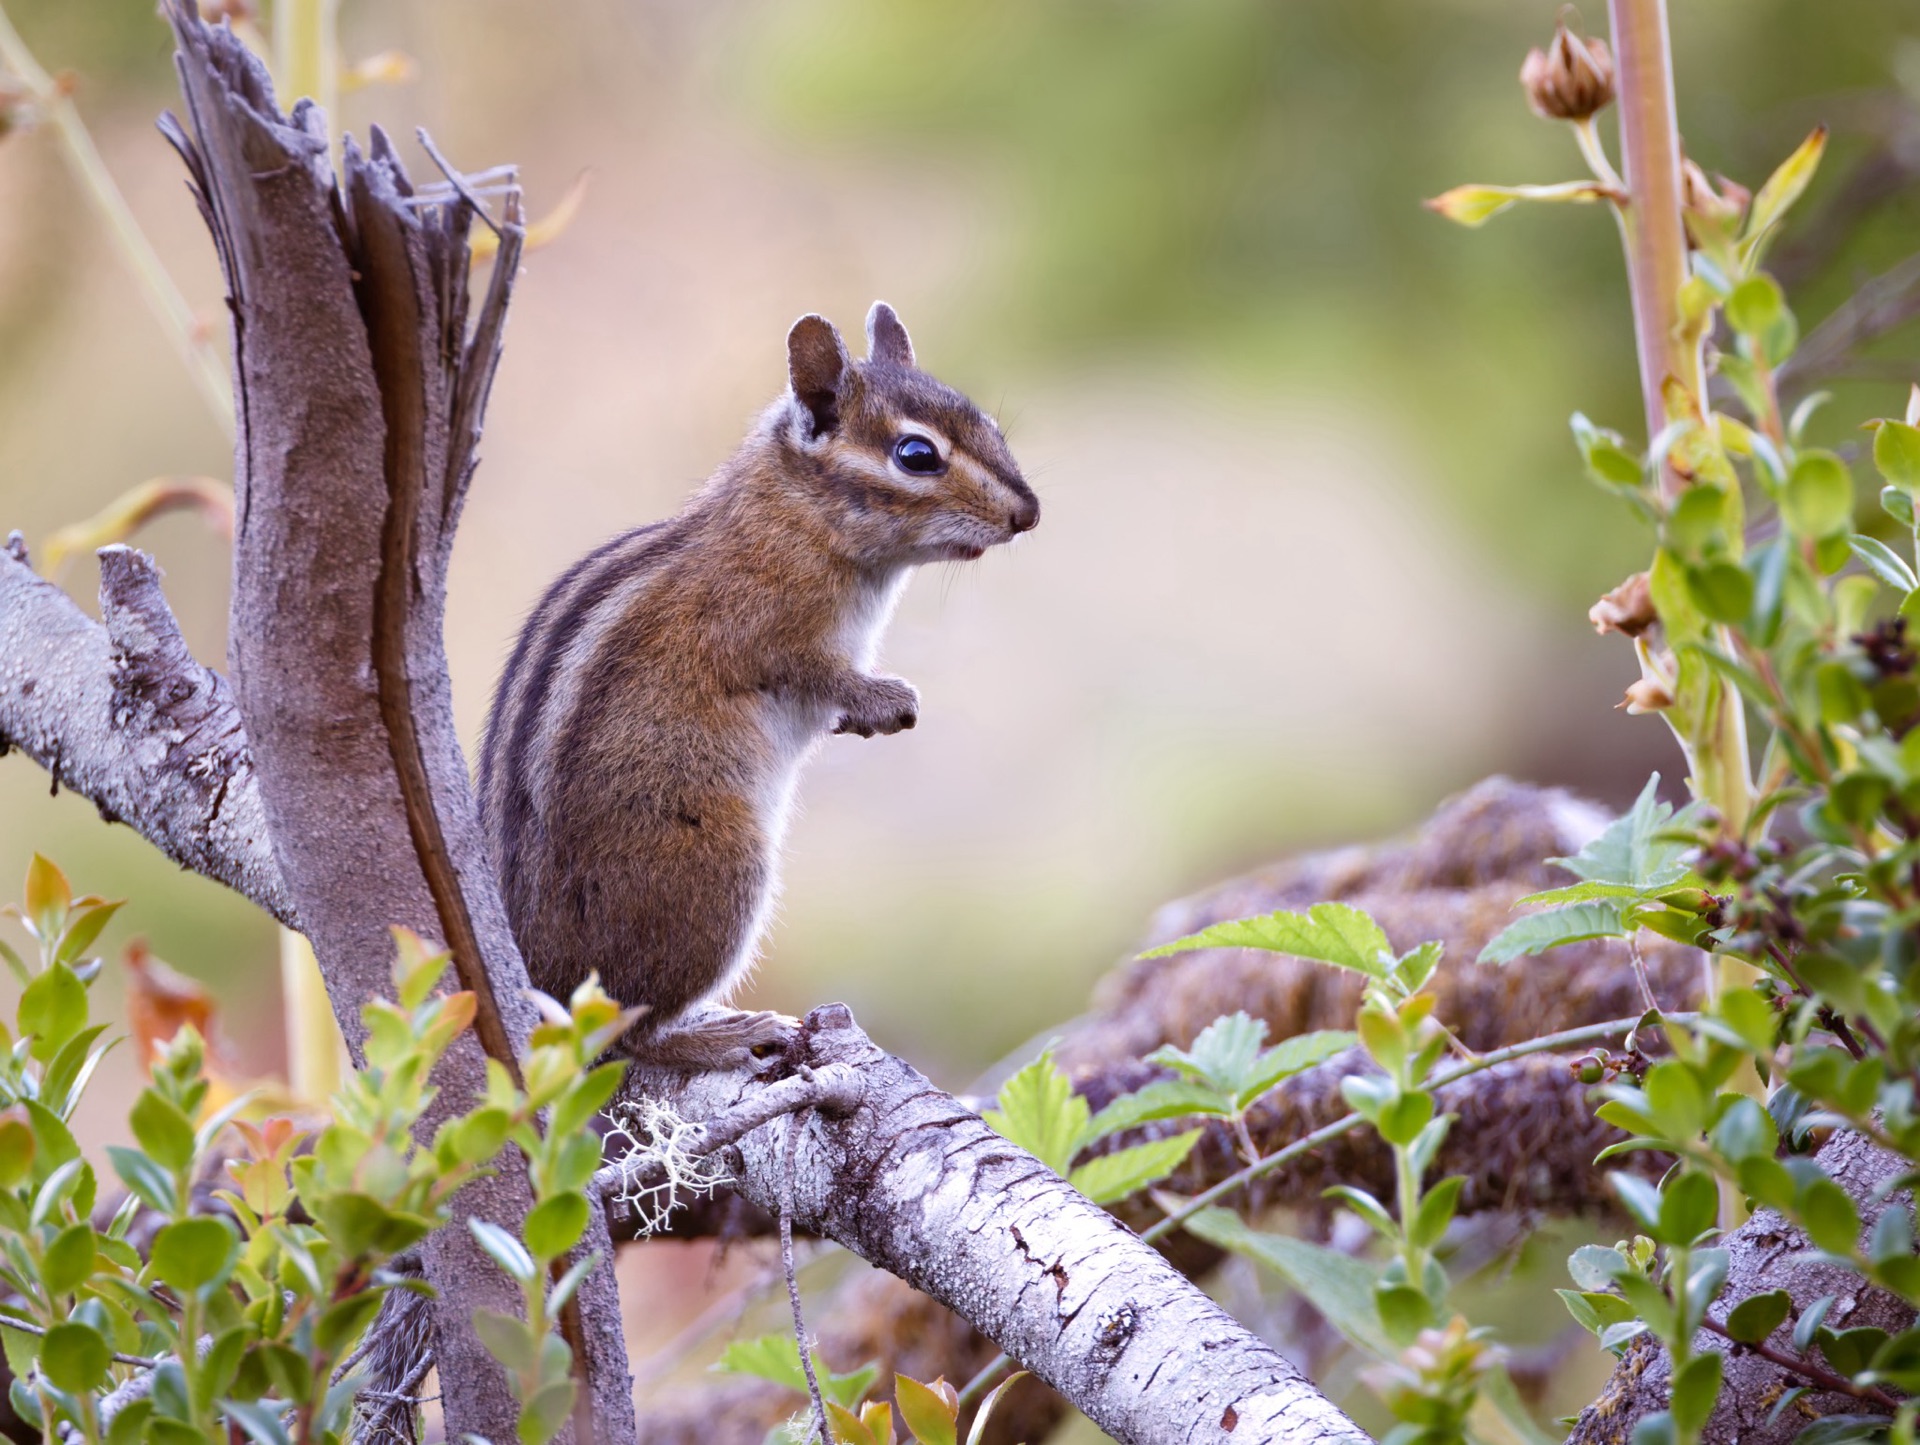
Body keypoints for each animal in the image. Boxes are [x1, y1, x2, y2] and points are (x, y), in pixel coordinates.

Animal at [478, 302, 1039, 1070]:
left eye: (990, 426)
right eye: (917, 456)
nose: (1029, 513)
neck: (795, 519)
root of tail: (538, 979)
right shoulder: (765, 630)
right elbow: (812, 670)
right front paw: (886, 699)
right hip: (717, 876)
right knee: (625, 1032)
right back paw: (723, 1034)